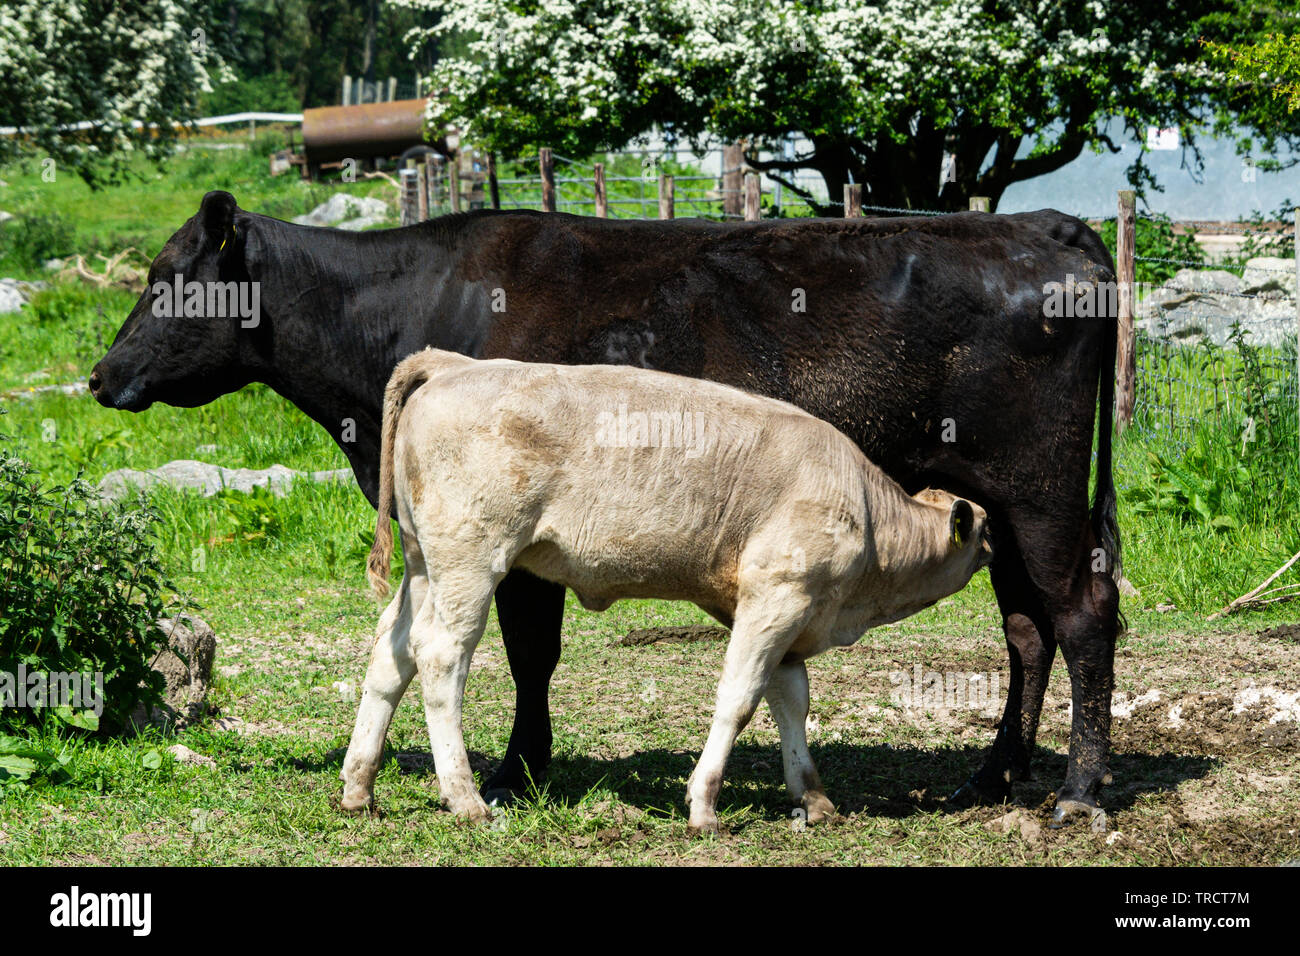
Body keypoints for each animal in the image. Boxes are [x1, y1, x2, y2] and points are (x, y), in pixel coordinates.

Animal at [345, 348, 994, 833]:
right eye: (984, 530)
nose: (994, 550)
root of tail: (456, 363)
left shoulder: (787, 615)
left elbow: (791, 702)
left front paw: (813, 800)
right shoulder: (777, 597)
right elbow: (739, 698)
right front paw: (704, 806)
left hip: (423, 564)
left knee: (391, 651)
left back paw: (359, 789)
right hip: (471, 560)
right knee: (440, 656)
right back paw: (465, 798)